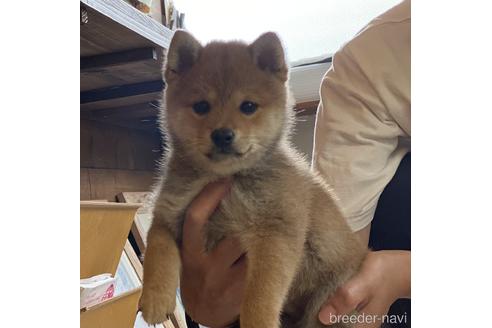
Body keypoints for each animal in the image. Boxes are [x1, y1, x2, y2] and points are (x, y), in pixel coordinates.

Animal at [140, 29, 368, 326]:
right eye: (201, 106)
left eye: (248, 106)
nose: (222, 134)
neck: (228, 179)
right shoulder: (168, 214)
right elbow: (157, 251)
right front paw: (155, 298)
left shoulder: (275, 232)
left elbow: (260, 294)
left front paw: (258, 320)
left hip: (326, 302)